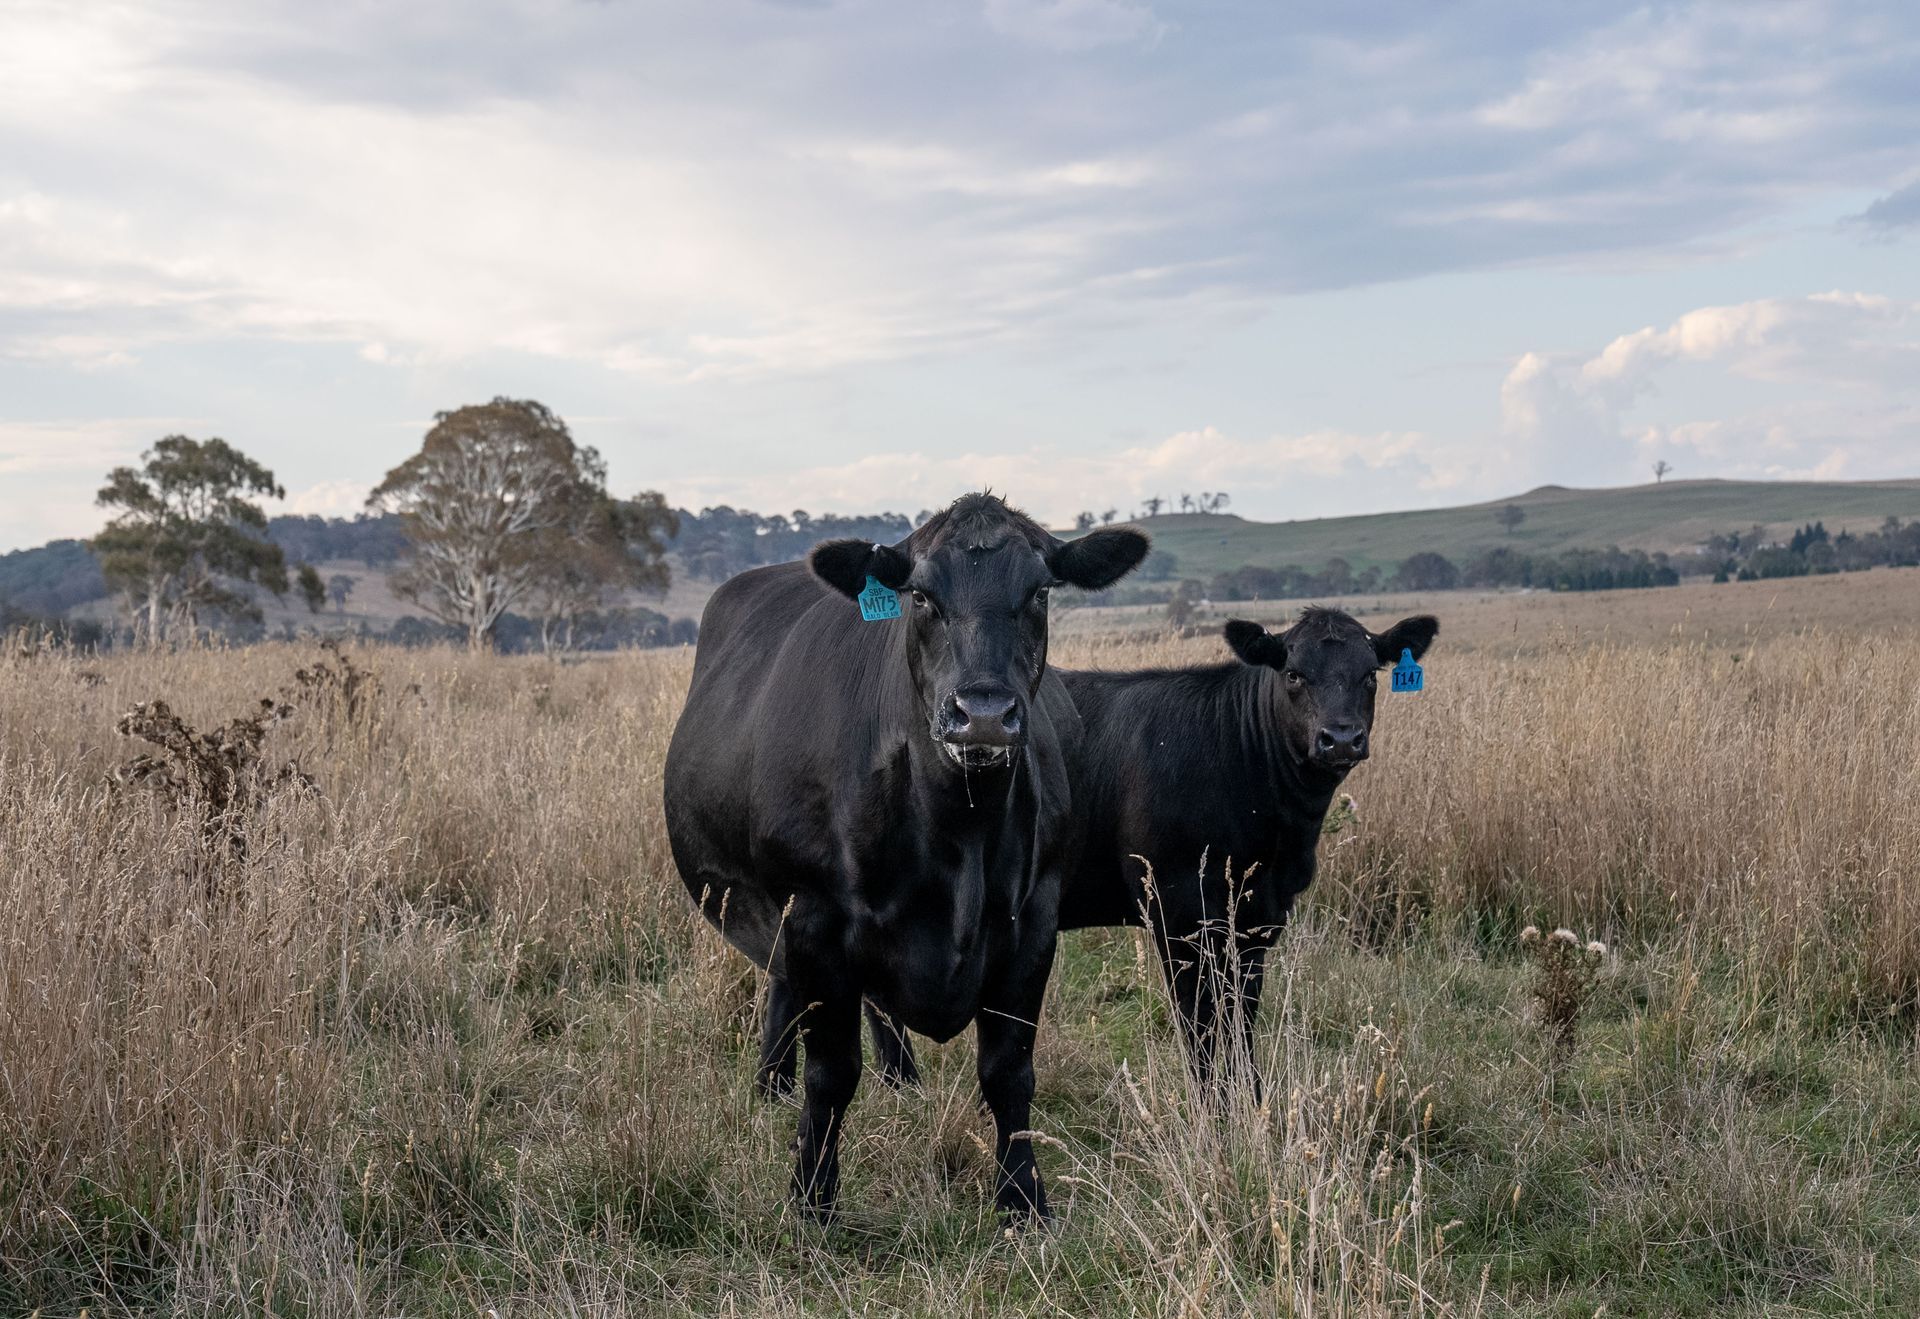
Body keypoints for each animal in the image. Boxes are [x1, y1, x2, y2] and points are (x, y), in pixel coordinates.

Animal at [663, 493, 1147, 1219]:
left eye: (1038, 592)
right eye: (921, 595)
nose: (983, 712)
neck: (960, 830)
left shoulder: (1035, 921)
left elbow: (1009, 1071)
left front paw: (1022, 1196)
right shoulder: (814, 914)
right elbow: (831, 1073)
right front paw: (812, 1196)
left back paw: (898, 1079)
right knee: (788, 985)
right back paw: (772, 1082)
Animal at [810, 606, 1438, 1093]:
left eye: (1370, 675)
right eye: (1294, 673)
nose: (1340, 738)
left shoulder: (1256, 918)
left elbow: (1241, 1023)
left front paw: (1249, 1101)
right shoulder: (1181, 910)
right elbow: (1203, 1029)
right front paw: (1216, 1114)